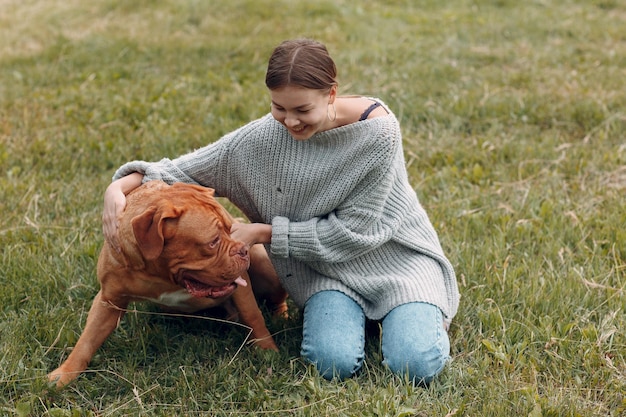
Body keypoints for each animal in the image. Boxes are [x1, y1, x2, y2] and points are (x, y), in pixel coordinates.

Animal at [47, 181, 286, 386]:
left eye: (231, 230)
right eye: (213, 242)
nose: (243, 249)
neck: (161, 274)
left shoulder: (241, 285)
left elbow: (253, 315)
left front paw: (268, 350)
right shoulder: (109, 300)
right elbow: (87, 340)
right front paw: (64, 374)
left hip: (265, 264)